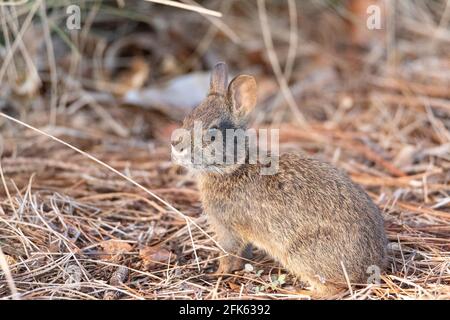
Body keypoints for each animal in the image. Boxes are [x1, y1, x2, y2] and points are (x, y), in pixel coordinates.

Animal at [171, 62, 388, 298]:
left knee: (334, 288)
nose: (175, 144)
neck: (233, 167)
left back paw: (301, 292)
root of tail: (373, 265)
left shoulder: (229, 229)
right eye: (187, 118)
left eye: (211, 135)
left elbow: (228, 254)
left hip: (300, 254)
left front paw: (218, 273)